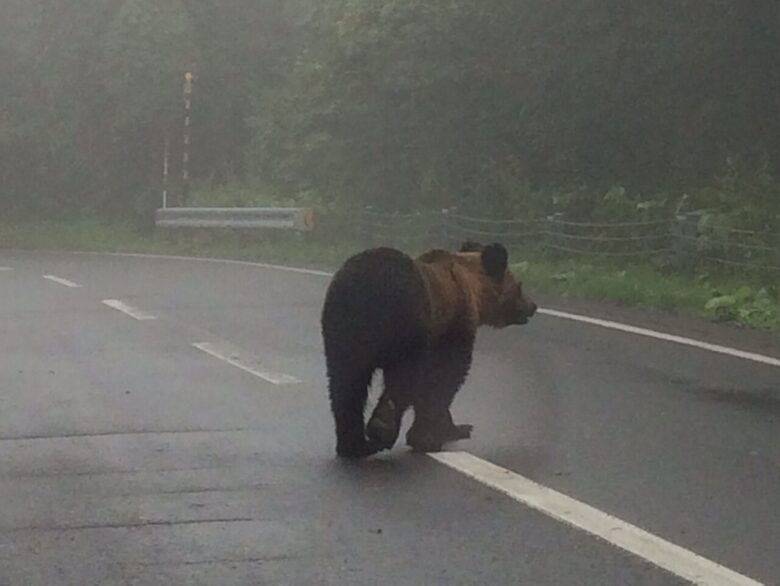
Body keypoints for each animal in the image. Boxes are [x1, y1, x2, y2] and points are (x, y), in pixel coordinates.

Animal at [318, 240, 536, 458]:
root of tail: (365, 285)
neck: (473, 288)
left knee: (345, 383)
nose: (532, 306)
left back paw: (354, 445)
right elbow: (445, 378)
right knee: (402, 377)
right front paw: (432, 436)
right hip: (408, 323)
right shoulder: (453, 328)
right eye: (519, 286)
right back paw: (381, 429)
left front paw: (454, 428)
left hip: (342, 331)